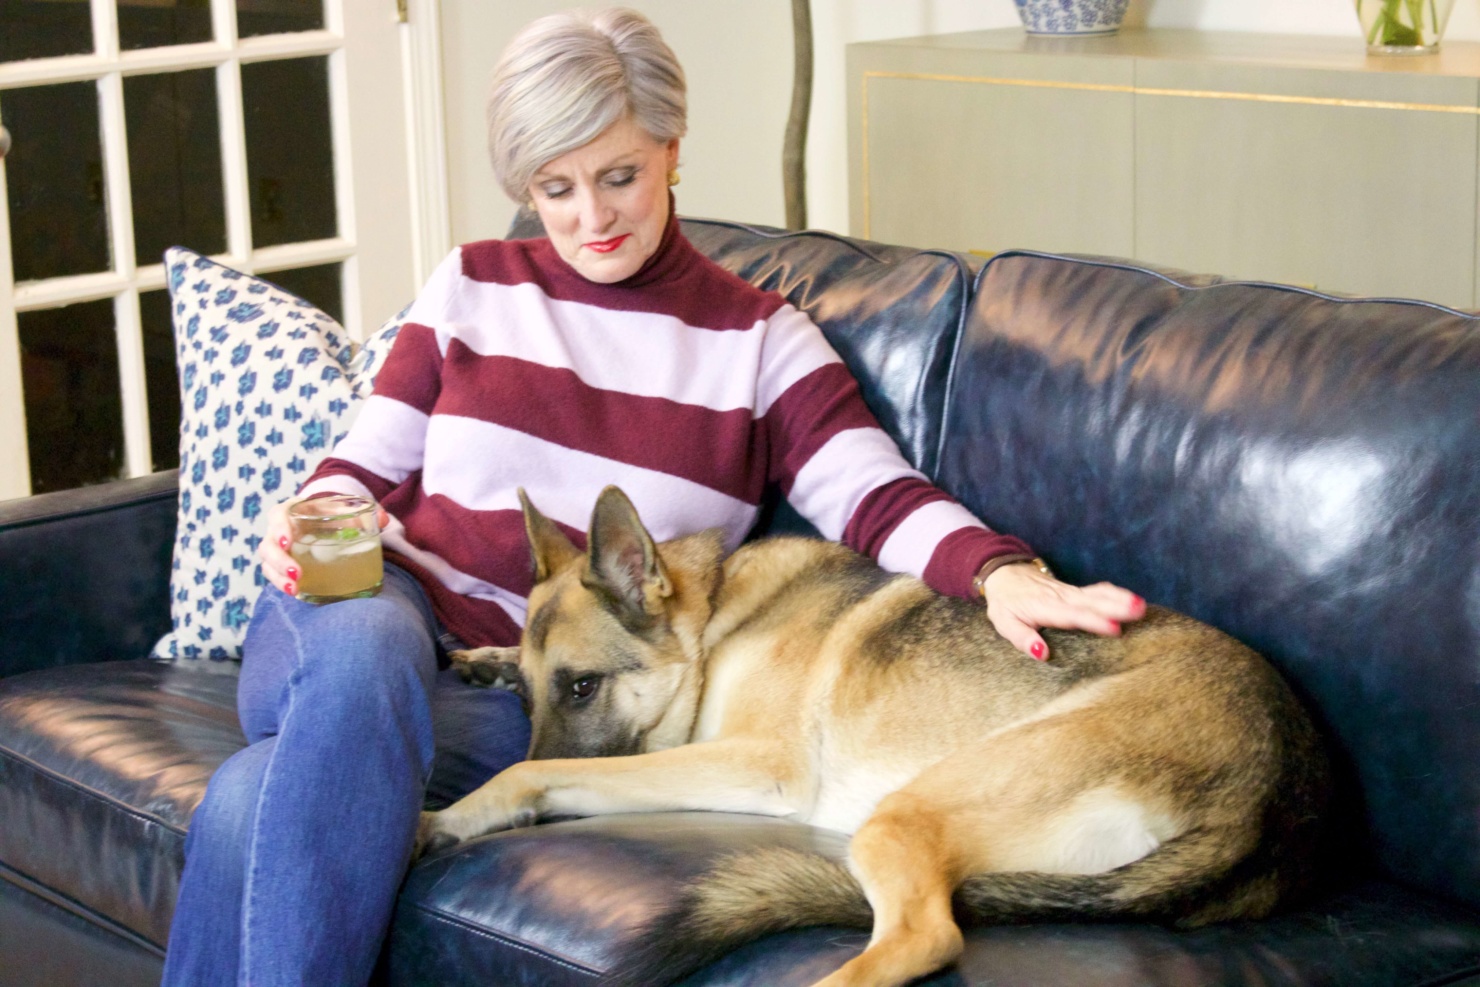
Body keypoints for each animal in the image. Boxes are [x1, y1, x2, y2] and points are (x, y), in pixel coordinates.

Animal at [417, 485, 1332, 987]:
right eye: (533, 691)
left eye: (582, 686)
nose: (505, 683)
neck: (712, 619)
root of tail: (1273, 800)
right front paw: (484, 658)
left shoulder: (755, 764)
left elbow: (535, 775)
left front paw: (452, 813)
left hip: (903, 811)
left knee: (925, 938)